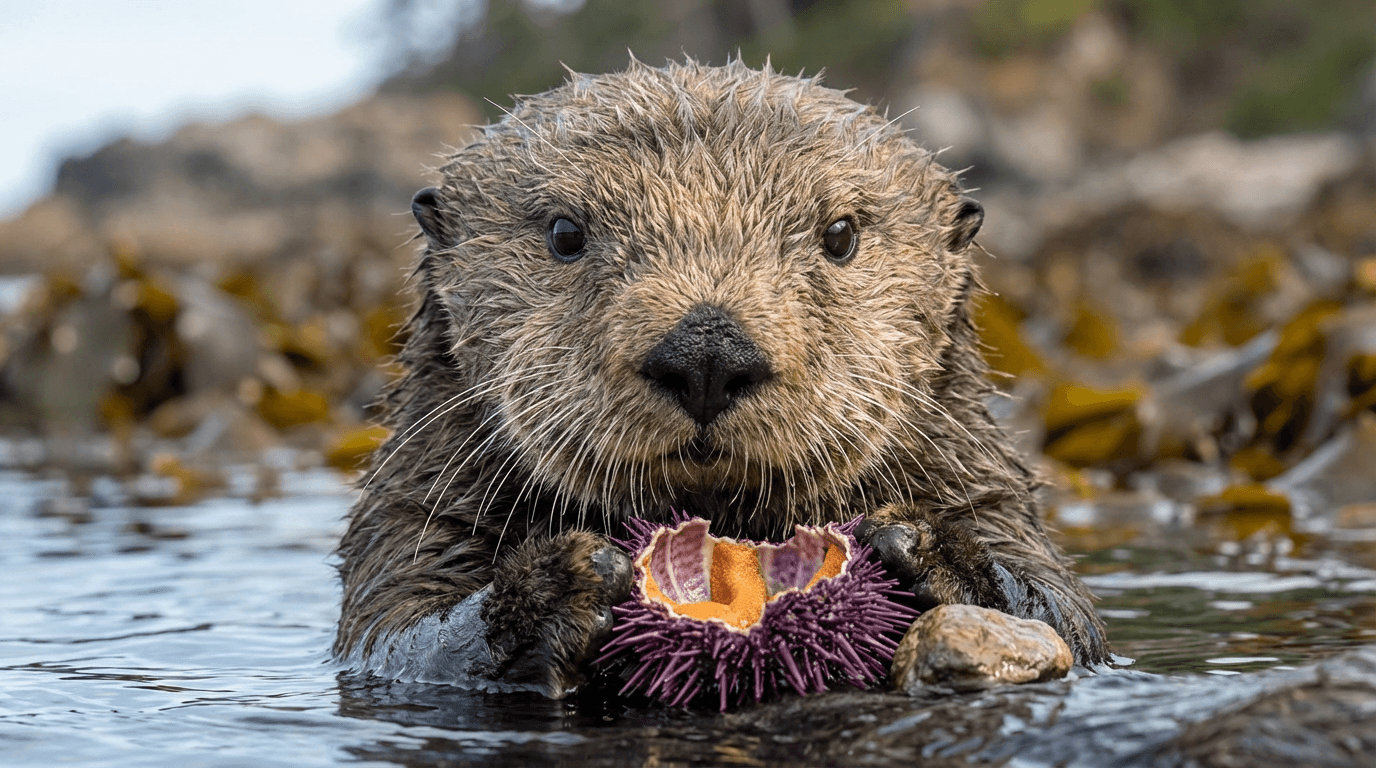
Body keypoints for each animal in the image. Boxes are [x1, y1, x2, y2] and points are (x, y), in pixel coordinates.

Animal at [334, 60, 1110, 697]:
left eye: (840, 235)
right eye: (564, 233)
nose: (707, 353)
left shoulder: (976, 475)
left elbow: (1065, 614)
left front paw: (933, 552)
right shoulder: (423, 489)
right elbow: (394, 627)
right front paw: (560, 588)